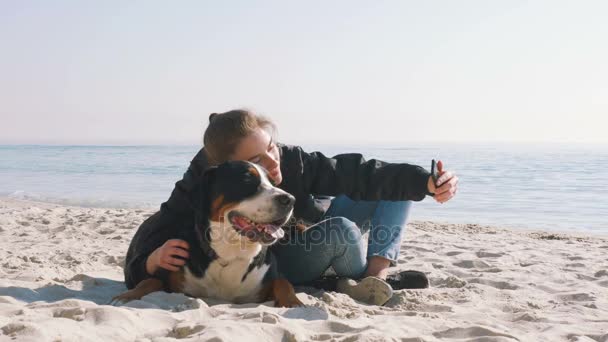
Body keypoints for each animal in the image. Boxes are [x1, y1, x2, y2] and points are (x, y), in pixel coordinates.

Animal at [111, 160, 304, 308]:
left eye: (274, 183)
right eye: (247, 179)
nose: (290, 200)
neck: (231, 254)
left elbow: (283, 283)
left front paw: (294, 302)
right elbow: (150, 280)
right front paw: (127, 296)